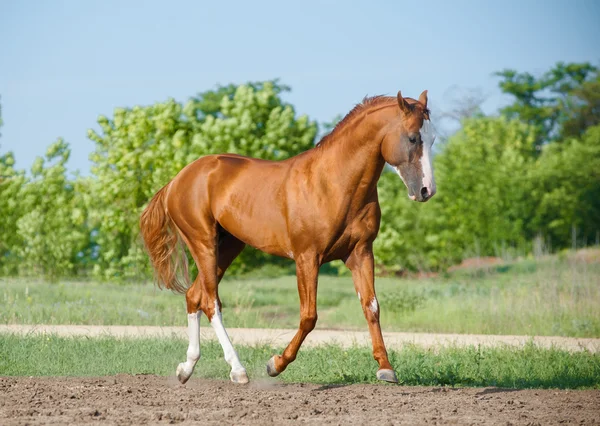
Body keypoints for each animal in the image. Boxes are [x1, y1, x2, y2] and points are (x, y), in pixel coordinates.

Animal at [138, 89, 434, 382]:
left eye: (432, 139)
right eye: (412, 137)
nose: (426, 191)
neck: (332, 184)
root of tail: (176, 181)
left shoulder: (360, 253)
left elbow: (371, 307)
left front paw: (386, 368)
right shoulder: (307, 258)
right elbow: (309, 316)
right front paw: (275, 364)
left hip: (228, 247)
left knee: (194, 296)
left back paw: (186, 369)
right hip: (203, 244)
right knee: (211, 302)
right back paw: (238, 370)